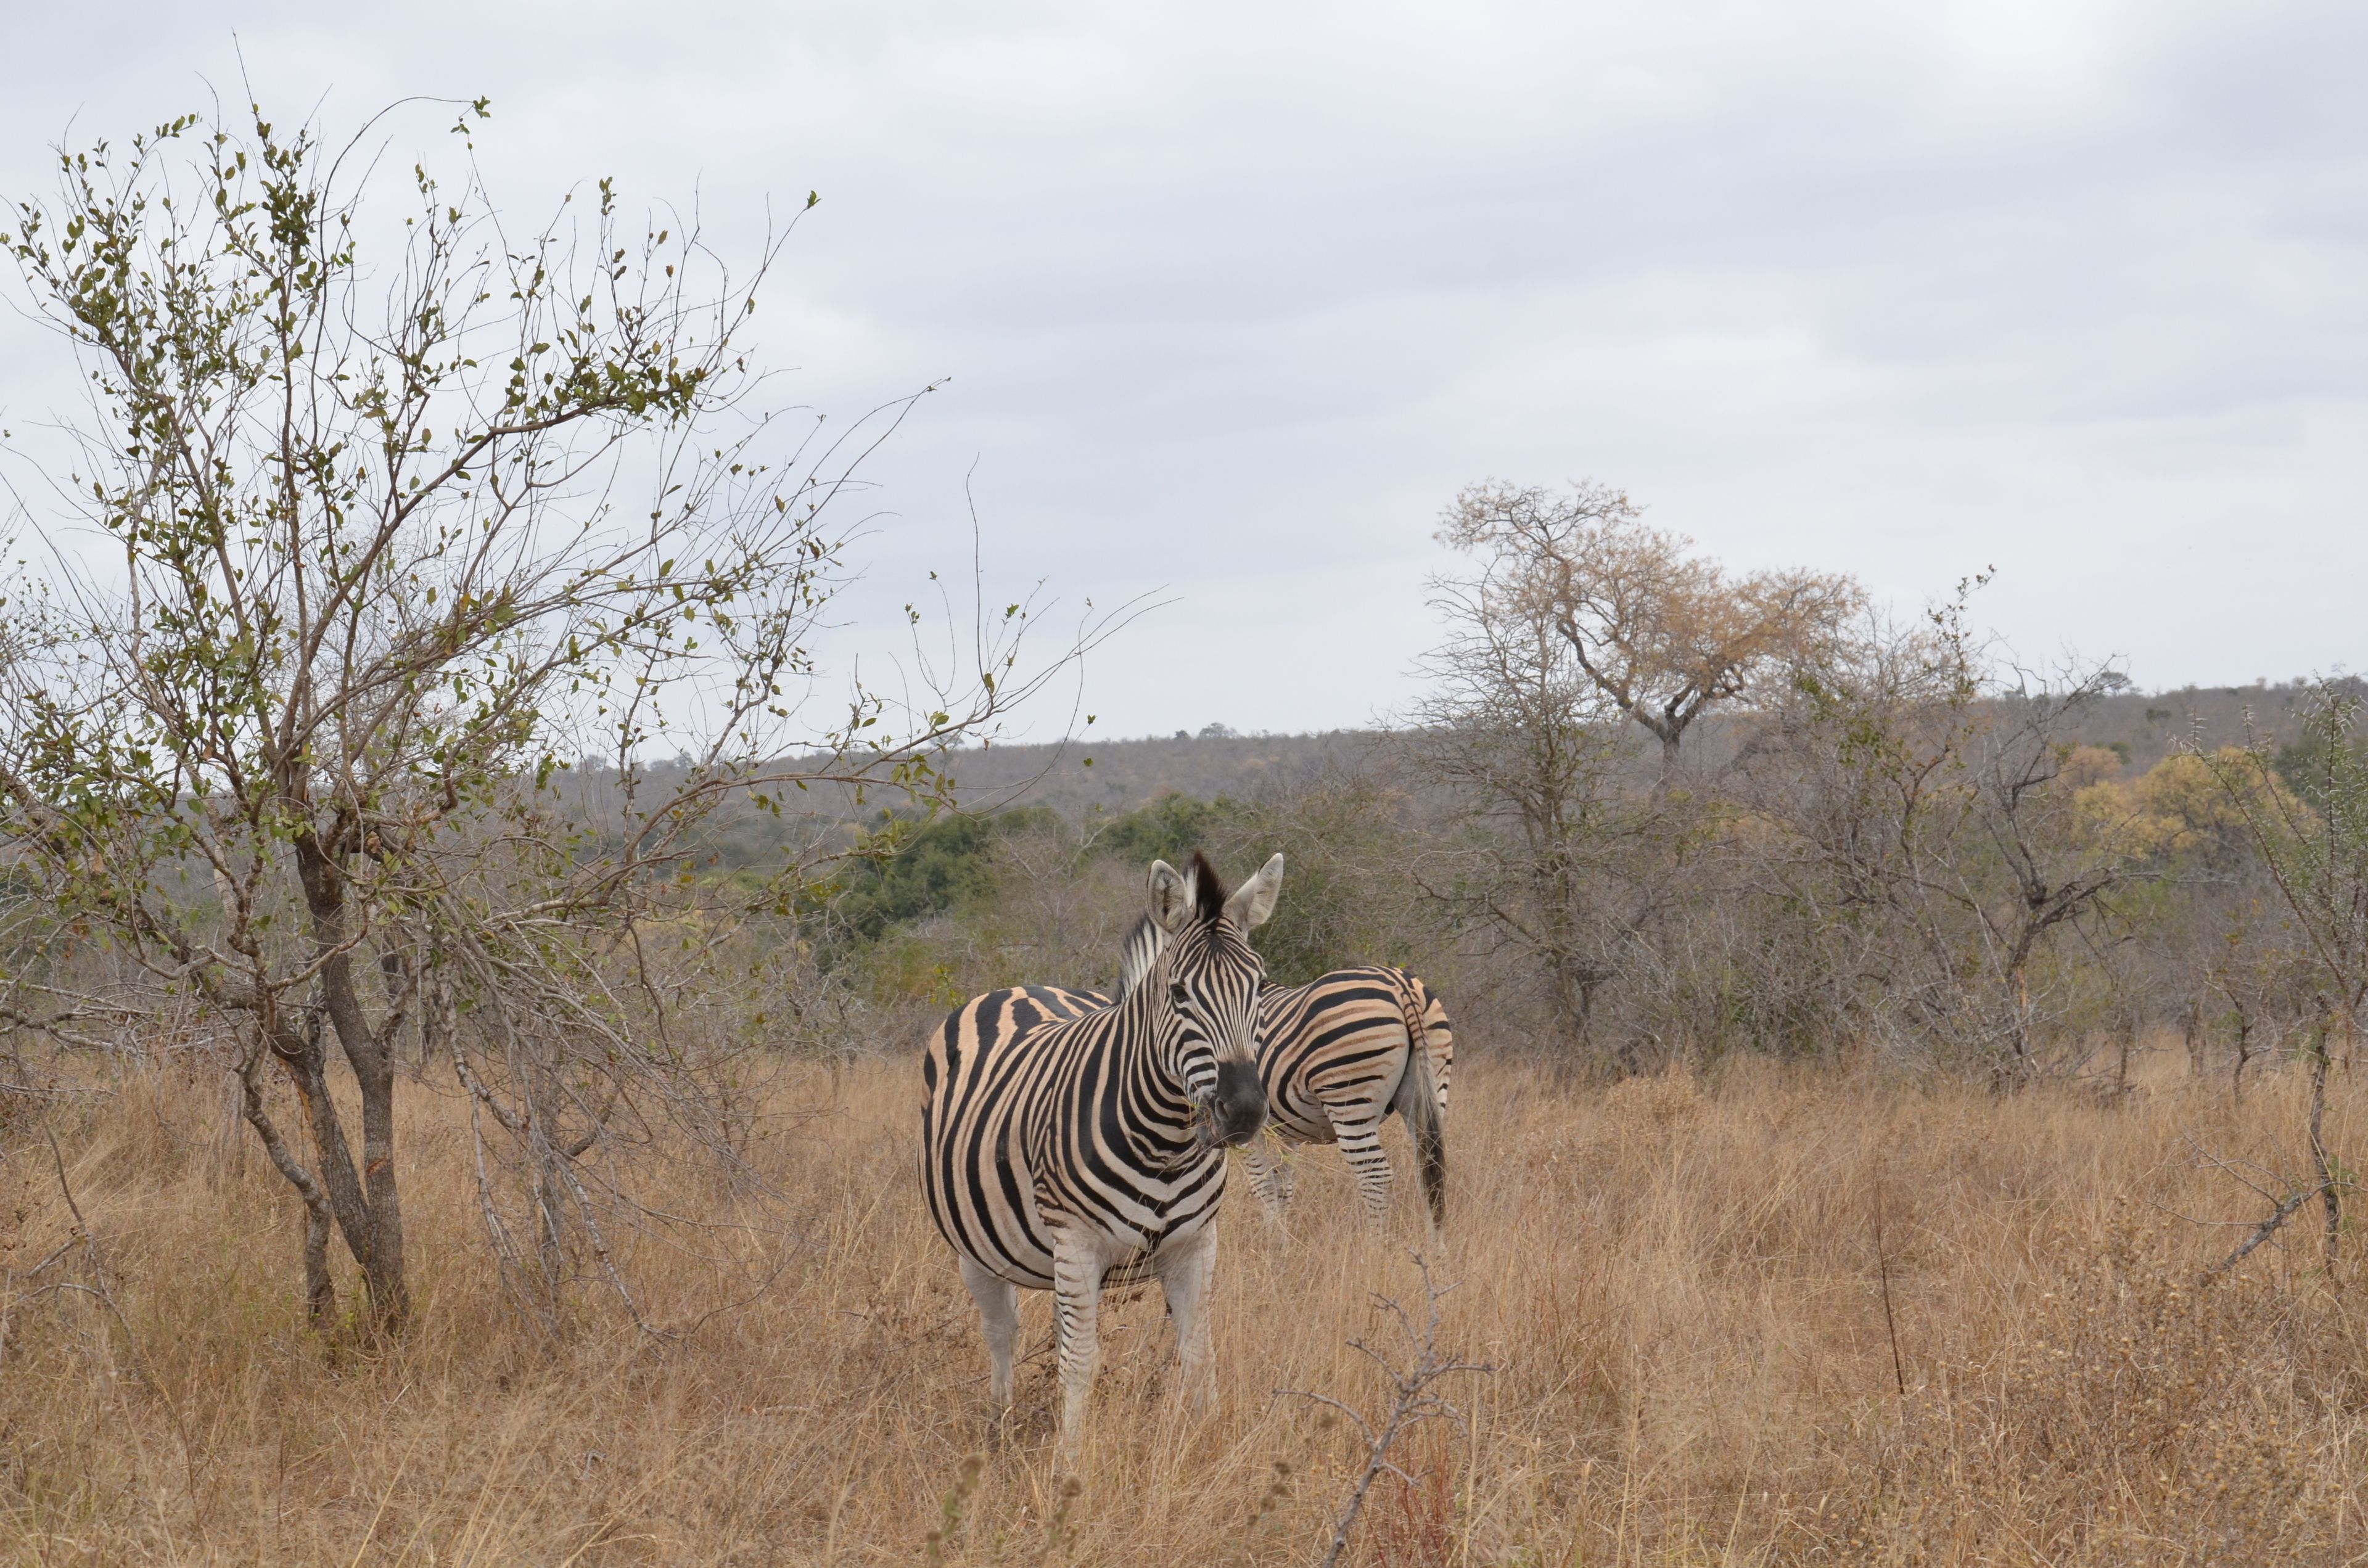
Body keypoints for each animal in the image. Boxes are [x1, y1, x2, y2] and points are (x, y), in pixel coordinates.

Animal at [921, 851, 1282, 1462]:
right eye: (1179, 994)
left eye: (1258, 987)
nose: (1244, 1109)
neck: (1165, 1141)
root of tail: (1017, 987)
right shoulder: (1078, 1242)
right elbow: (1082, 1361)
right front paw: (1070, 1464)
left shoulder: (1195, 1243)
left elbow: (1198, 1352)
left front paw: (1209, 1445)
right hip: (977, 1247)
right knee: (1002, 1332)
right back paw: (1000, 1425)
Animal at [1116, 915, 1452, 1239]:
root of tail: (1401, 985)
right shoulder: (1285, 1132)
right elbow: (1283, 1187)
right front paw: (1280, 1244)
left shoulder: (1250, 1131)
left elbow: (1264, 1186)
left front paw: (1270, 1244)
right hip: (1430, 1090)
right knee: (1430, 1170)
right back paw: (1436, 1249)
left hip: (1350, 1101)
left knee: (1376, 1177)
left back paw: (1375, 1247)